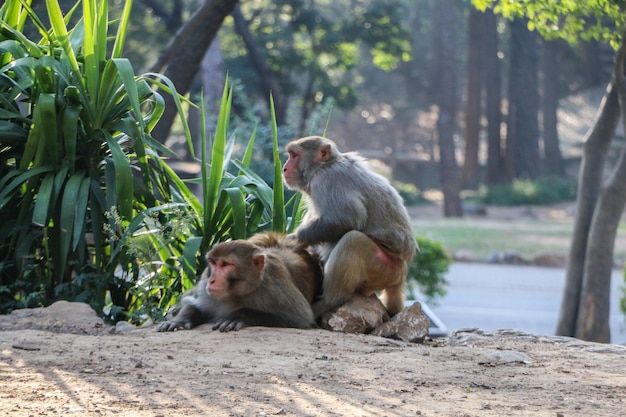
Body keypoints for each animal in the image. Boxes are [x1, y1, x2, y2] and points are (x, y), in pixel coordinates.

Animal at [156, 232, 322, 334]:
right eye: (213, 263)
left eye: (225, 264)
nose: (212, 280)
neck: (236, 294)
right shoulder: (205, 286)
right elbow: (194, 303)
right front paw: (180, 320)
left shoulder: (275, 286)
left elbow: (299, 317)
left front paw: (236, 317)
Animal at [282, 135, 414, 316]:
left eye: (294, 155)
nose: (284, 168)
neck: (325, 165)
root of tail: (401, 274)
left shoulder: (327, 179)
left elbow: (349, 218)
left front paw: (295, 238)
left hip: (384, 267)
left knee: (353, 240)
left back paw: (330, 300)